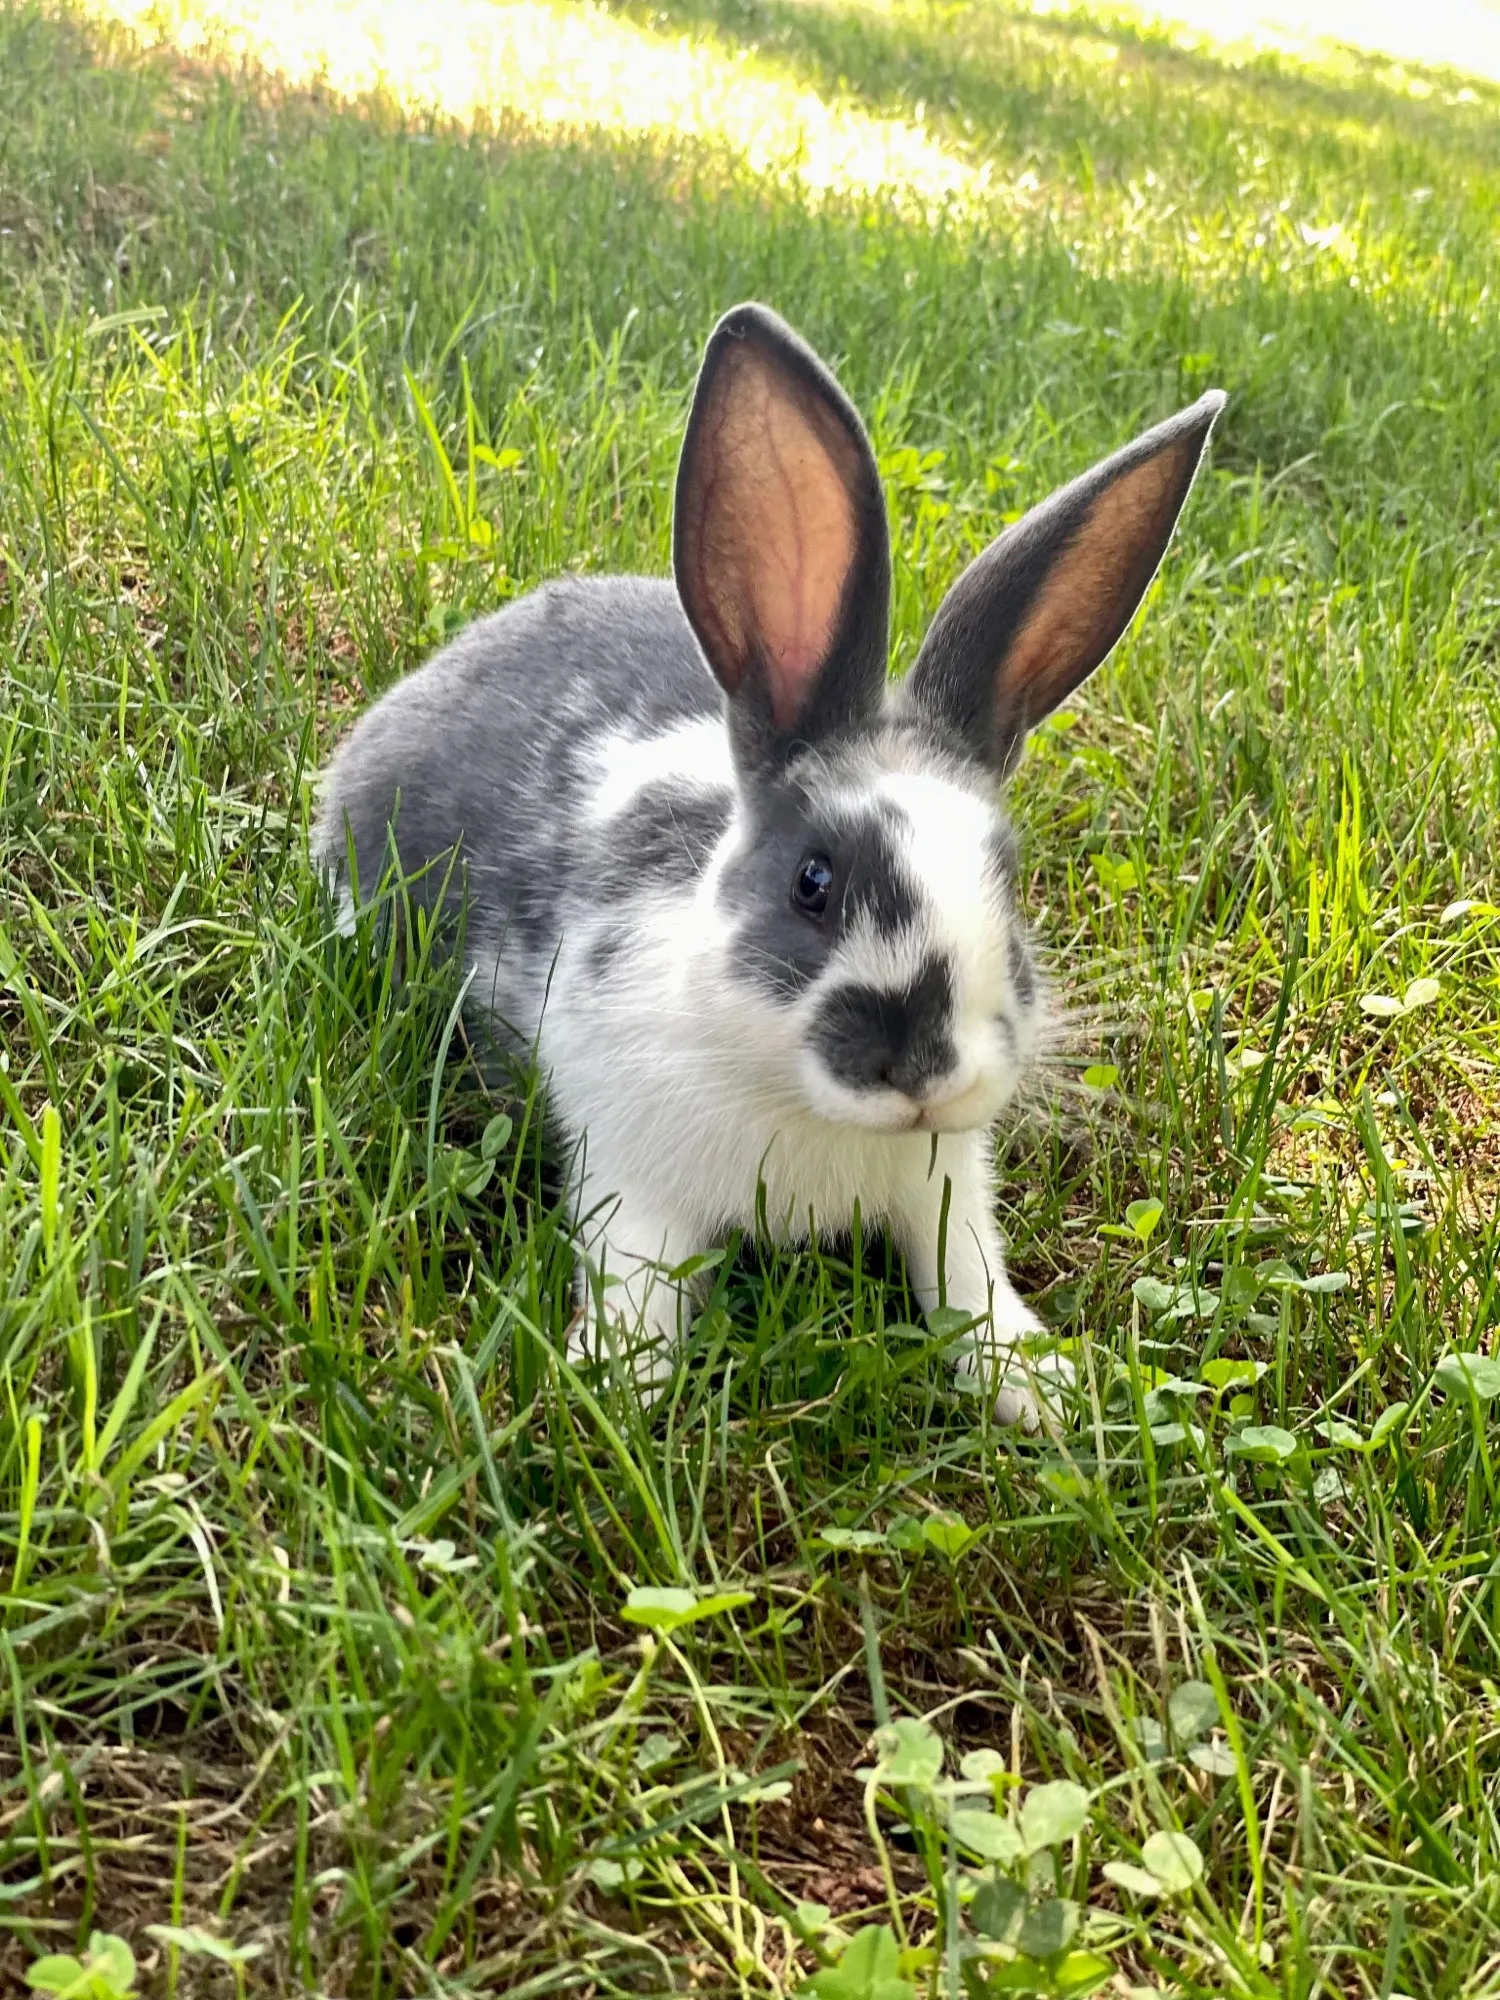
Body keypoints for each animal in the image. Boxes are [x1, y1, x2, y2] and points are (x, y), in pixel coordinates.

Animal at [313, 304, 1223, 1430]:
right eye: (813, 882)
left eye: (1009, 886)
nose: (925, 1070)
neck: (802, 1101)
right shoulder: (633, 1179)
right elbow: (641, 1289)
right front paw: (610, 1392)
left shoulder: (946, 1188)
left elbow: (964, 1283)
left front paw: (1037, 1384)